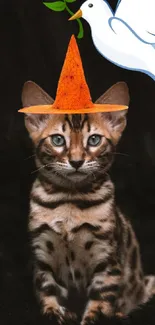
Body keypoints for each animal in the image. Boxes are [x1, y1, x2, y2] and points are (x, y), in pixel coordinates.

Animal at [22, 81, 155, 324]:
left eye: (94, 140)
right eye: (58, 140)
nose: (76, 161)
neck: (69, 200)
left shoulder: (107, 262)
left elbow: (99, 306)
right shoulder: (42, 257)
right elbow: (48, 293)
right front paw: (56, 313)